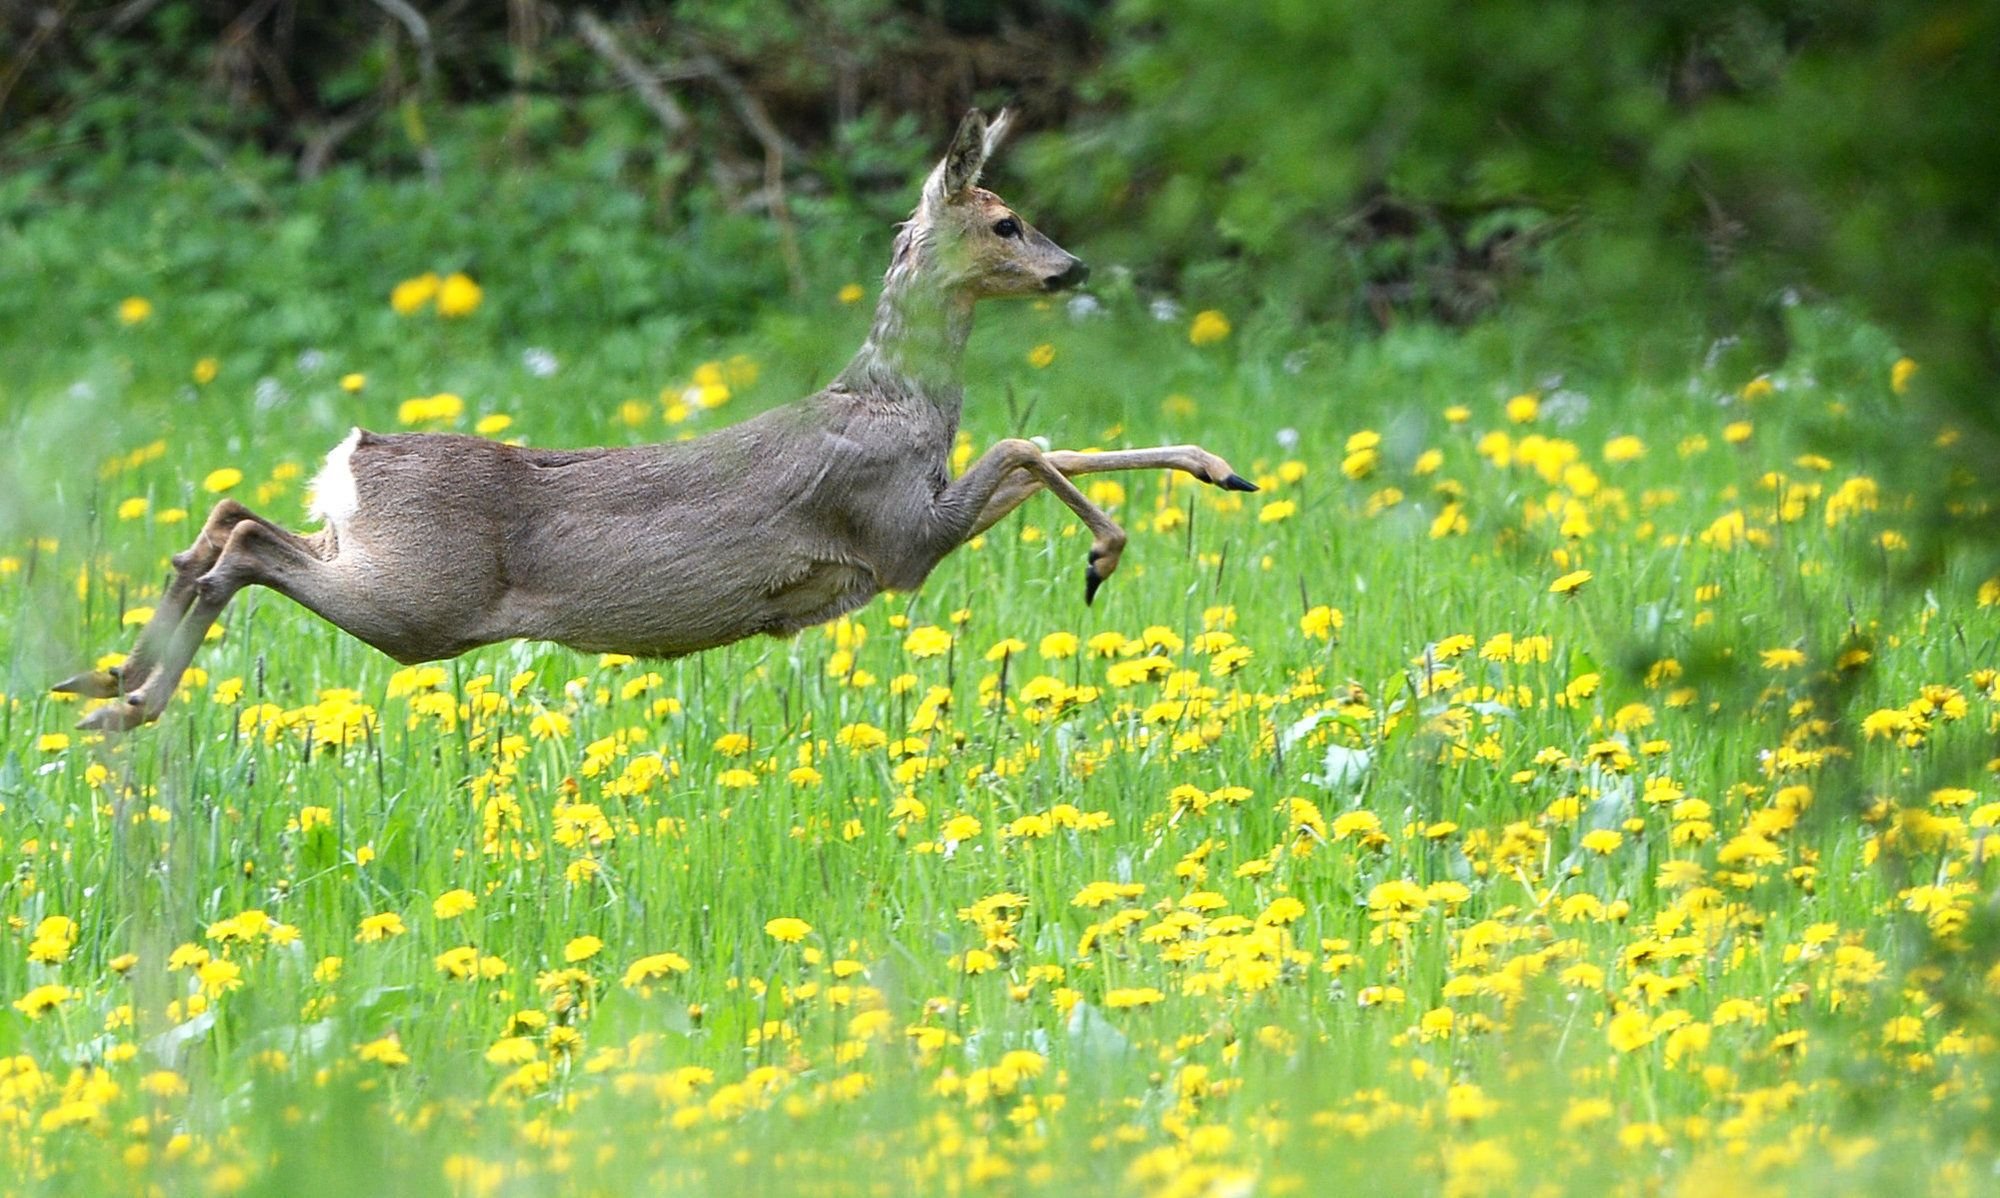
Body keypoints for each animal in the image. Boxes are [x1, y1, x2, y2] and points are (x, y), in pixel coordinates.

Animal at [58, 110, 1248, 732]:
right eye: (1004, 220)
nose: (1072, 267)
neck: (897, 401)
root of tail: (354, 455)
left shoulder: (909, 531)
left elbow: (1044, 444)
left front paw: (1218, 469)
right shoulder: (895, 539)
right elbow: (1025, 444)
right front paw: (1107, 551)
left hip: (377, 562)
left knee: (225, 519)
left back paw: (102, 680)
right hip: (421, 602)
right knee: (246, 544)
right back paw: (122, 701)